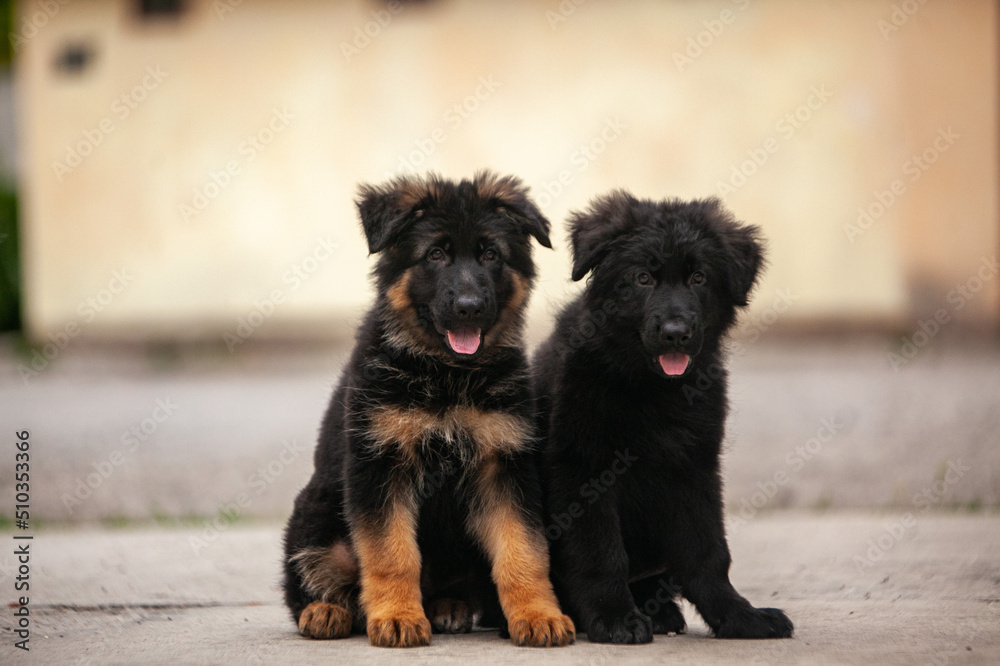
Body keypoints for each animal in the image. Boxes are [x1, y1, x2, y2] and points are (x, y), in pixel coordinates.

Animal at [286, 170, 576, 644]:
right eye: (436, 254)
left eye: (490, 255)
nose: (469, 308)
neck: (448, 375)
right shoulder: (381, 464)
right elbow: (391, 554)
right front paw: (397, 617)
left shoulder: (504, 466)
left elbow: (523, 551)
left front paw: (537, 615)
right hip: (317, 514)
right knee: (317, 578)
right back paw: (327, 611)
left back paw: (446, 606)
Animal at [536, 192, 792, 644]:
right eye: (642, 278)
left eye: (699, 278)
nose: (676, 332)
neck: (649, 388)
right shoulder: (583, 468)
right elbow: (600, 551)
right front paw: (614, 617)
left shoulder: (694, 468)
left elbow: (709, 552)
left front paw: (738, 615)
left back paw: (660, 612)